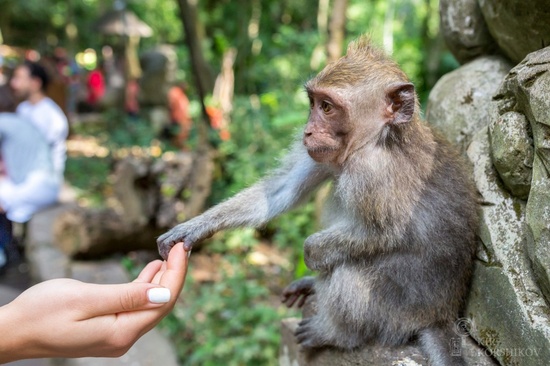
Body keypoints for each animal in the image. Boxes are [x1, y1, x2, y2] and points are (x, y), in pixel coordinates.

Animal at [156, 35, 478, 366]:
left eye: (327, 107)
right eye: (313, 103)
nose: (308, 131)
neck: (378, 139)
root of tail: (439, 315)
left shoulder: (371, 171)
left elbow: (382, 234)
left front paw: (311, 253)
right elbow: (282, 191)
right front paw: (194, 227)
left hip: (398, 313)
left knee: (350, 271)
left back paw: (336, 332)